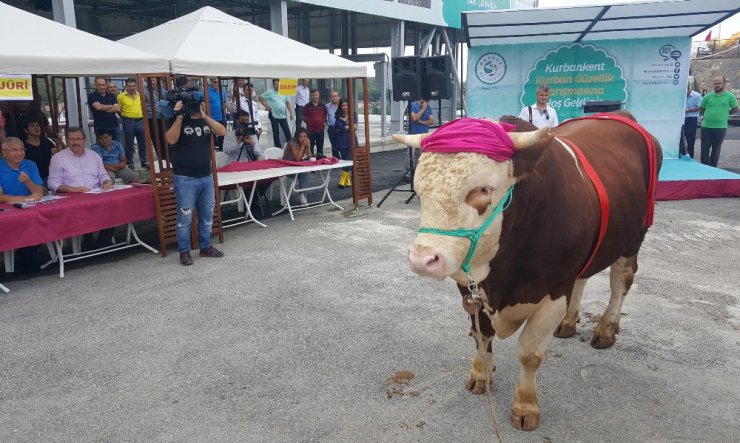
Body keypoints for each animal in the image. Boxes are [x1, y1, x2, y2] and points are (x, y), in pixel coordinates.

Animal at [396, 112, 660, 432]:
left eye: (483, 189)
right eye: (420, 191)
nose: (422, 259)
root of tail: (620, 116)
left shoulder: (555, 290)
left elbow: (530, 353)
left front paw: (525, 406)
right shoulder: (469, 287)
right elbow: (481, 335)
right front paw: (481, 374)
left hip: (633, 237)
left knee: (620, 282)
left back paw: (606, 329)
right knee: (583, 278)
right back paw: (569, 322)